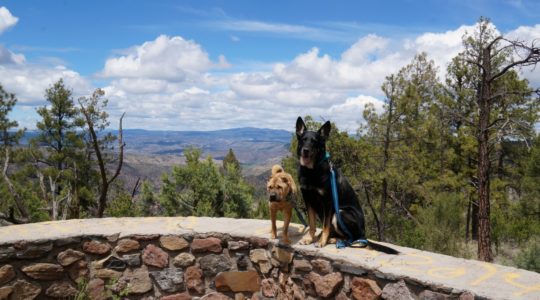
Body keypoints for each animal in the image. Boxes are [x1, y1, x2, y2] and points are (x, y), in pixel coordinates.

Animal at [296, 116, 396, 253]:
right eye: (303, 140)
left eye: (315, 141)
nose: (305, 150)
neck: (312, 171)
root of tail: (363, 235)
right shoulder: (308, 199)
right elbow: (311, 223)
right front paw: (310, 238)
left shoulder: (328, 202)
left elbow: (326, 226)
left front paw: (322, 241)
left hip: (340, 213)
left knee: (350, 238)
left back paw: (332, 239)